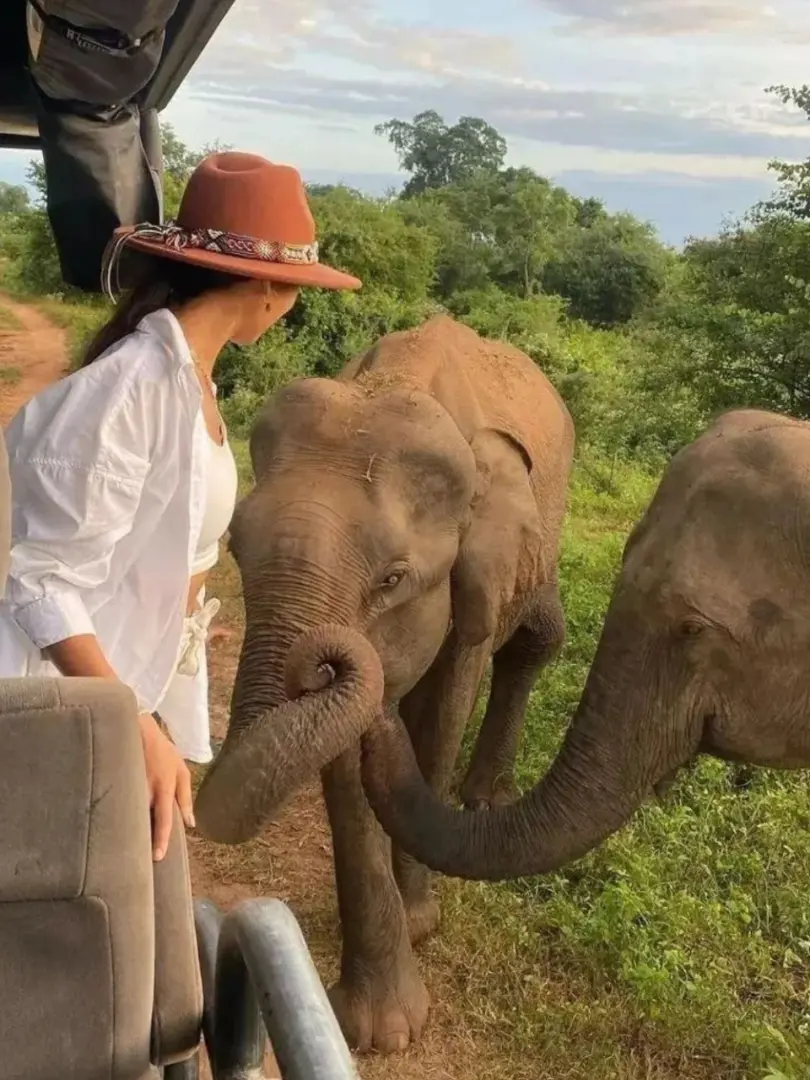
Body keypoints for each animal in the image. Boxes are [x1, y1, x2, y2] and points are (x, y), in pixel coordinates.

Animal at [194, 314, 575, 1053]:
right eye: (235, 548)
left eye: (394, 579)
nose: (319, 658)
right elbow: (346, 756)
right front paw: (379, 1029)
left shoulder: (474, 577)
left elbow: (444, 708)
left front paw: (421, 919)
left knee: (532, 638)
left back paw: (483, 801)